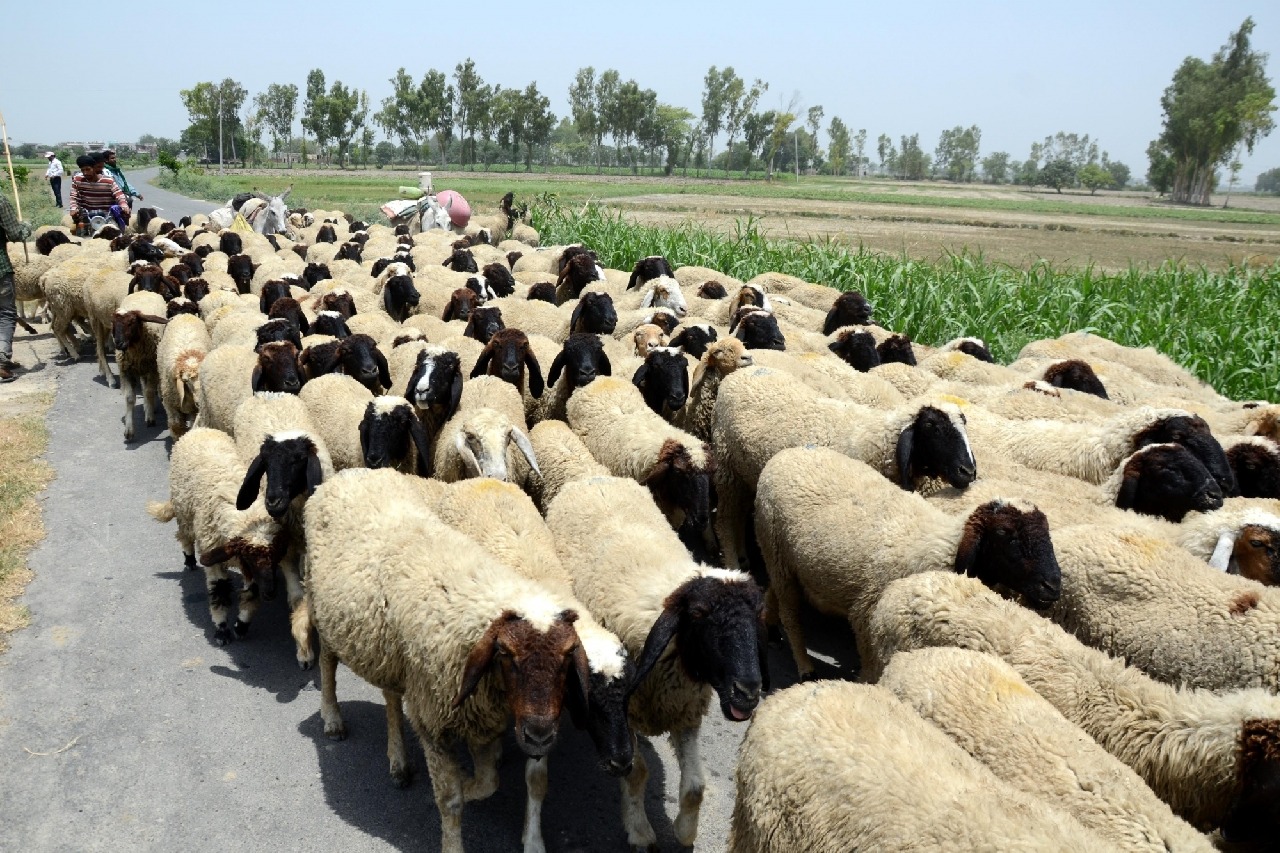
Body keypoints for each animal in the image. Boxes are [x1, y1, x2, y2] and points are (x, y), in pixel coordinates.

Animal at [146, 428, 288, 646]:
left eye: (276, 557)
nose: (271, 593)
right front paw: (222, 630)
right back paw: (189, 560)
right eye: (250, 556)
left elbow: (252, 593)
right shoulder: (215, 557)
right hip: (184, 513)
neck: (246, 516)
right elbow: (219, 591)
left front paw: (241, 625)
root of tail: (199, 429)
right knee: (184, 537)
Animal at [304, 468, 592, 853]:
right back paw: (332, 717)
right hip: (322, 607)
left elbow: (489, 782)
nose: (539, 735)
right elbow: (451, 800)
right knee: (327, 662)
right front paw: (453, 810)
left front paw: (469, 783)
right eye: (505, 654)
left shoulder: (481, 718)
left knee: (391, 696)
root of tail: (348, 474)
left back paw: (398, 760)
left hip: (390, 651)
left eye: (567, 657)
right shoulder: (434, 722)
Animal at [545, 475, 766, 850]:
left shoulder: (686, 711)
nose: (748, 693)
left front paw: (685, 831)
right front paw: (640, 831)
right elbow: (637, 772)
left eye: (757, 618)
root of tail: (589, 476)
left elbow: (695, 787)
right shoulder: (625, 711)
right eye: (699, 615)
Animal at [710, 367, 976, 572]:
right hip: (726, 465)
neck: (877, 441)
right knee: (724, 519)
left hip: (744, 471)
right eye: (931, 426)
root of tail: (738, 374)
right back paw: (733, 564)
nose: (968, 472)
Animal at [756, 446, 1059, 679]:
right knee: (791, 613)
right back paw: (805, 667)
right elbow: (871, 668)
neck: (945, 544)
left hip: (782, 558)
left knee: (774, 589)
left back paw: (768, 622)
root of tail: (786, 453)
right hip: (775, 547)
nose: (1053, 586)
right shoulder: (866, 616)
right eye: (1006, 535)